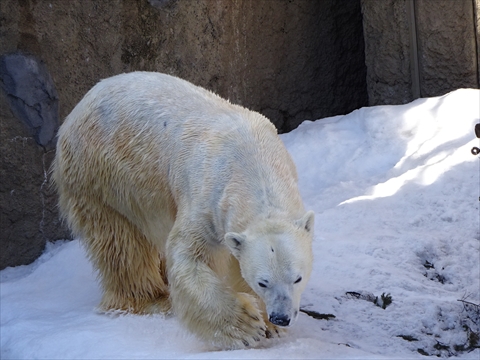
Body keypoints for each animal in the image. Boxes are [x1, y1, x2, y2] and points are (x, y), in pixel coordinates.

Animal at [52, 71, 316, 348]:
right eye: (263, 282)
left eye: (297, 278)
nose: (281, 317)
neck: (253, 164)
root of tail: (78, 108)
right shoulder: (207, 199)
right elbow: (189, 257)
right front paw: (246, 326)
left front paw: (269, 326)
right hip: (100, 175)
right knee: (122, 245)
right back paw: (152, 298)